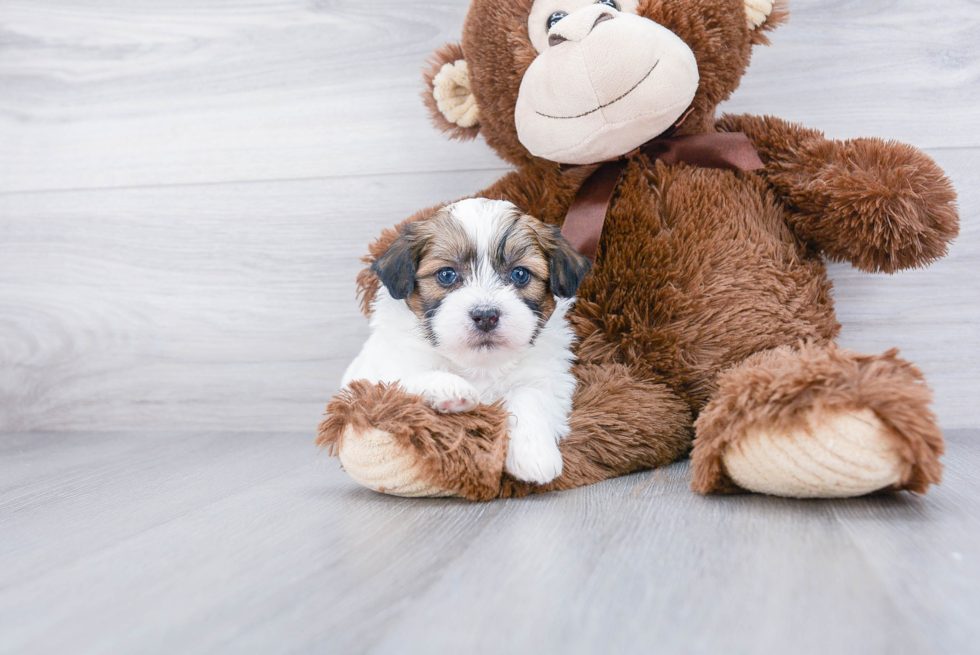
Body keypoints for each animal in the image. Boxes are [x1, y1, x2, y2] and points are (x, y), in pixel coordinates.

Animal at [340, 200, 592, 486]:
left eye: (520, 274)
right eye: (446, 275)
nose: (486, 315)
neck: (478, 365)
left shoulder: (548, 381)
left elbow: (528, 395)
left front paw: (534, 456)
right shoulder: (381, 376)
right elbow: (412, 377)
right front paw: (450, 389)